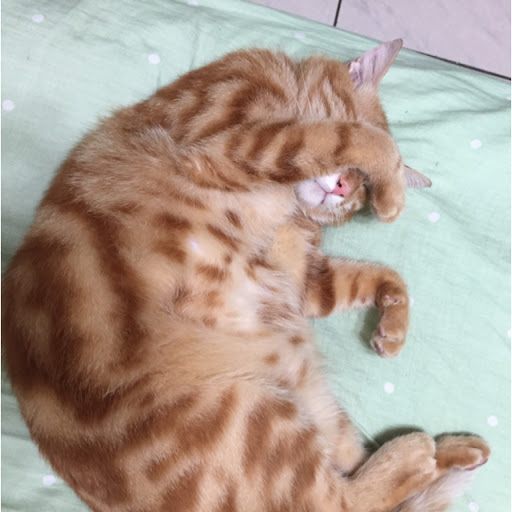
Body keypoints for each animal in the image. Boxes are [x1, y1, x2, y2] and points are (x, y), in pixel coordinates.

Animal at [2, 40, 489, 512]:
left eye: (360, 194)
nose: (345, 188)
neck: (289, 210)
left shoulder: (303, 279)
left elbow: (377, 275)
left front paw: (393, 324)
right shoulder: (236, 143)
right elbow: (349, 138)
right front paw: (393, 182)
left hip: (302, 403)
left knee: (357, 478)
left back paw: (458, 450)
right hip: (247, 418)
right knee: (341, 501)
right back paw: (419, 453)